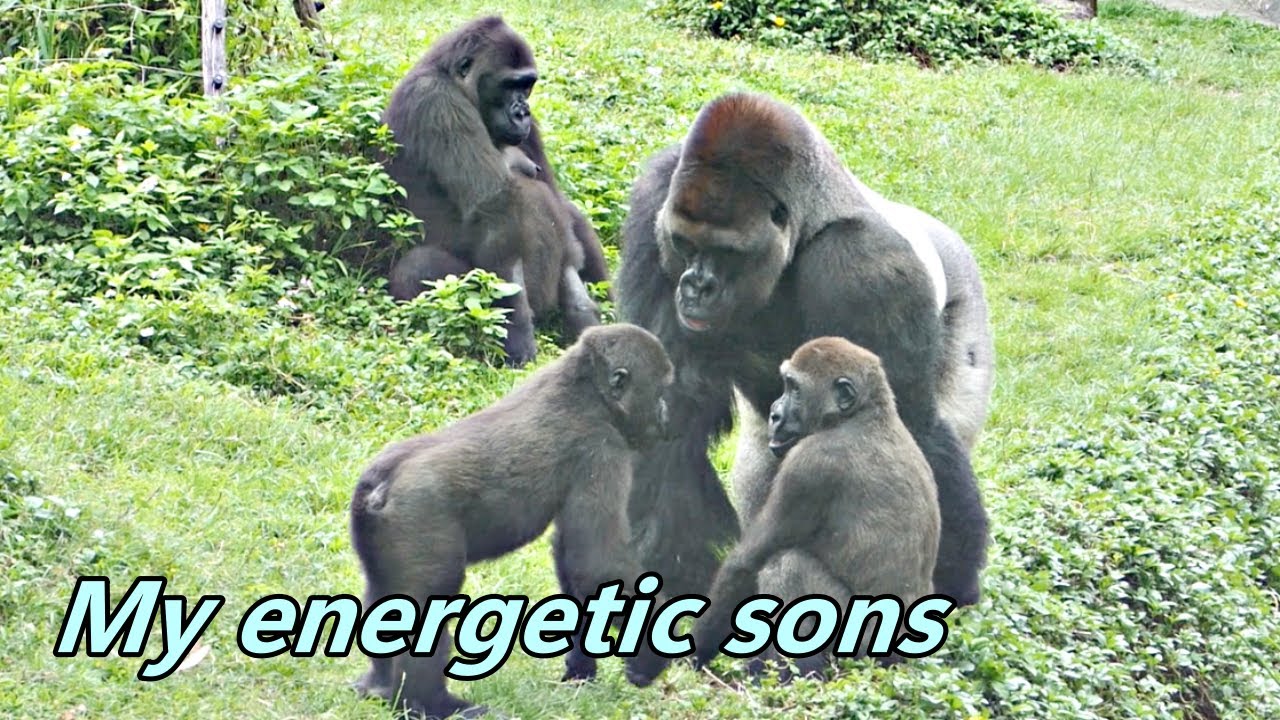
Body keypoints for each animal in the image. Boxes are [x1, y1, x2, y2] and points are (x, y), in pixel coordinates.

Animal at [350, 324, 674, 719]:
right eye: (659, 391)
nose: (664, 413)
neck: (588, 389)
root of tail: (381, 481)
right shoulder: (603, 449)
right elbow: (597, 563)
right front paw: (650, 654)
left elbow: (575, 562)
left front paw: (581, 670)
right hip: (417, 516)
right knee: (429, 599)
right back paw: (430, 704)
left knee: (382, 590)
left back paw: (379, 687)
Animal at [379, 16, 608, 366]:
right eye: (507, 85)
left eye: (526, 86)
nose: (522, 112)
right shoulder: (434, 98)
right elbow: (496, 207)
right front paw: (517, 334)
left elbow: (554, 202)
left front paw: (581, 309)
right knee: (416, 267)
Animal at [615, 92, 991, 606]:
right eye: (685, 244)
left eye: (728, 253)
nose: (695, 287)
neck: (805, 226)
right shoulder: (656, 198)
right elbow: (665, 404)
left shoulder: (865, 269)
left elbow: (910, 425)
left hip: (968, 314)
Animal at [691, 337, 941, 679]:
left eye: (794, 388)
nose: (774, 414)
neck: (866, 413)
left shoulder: (809, 466)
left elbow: (746, 563)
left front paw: (694, 650)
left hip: (865, 653)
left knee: (786, 565)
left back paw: (801, 672)